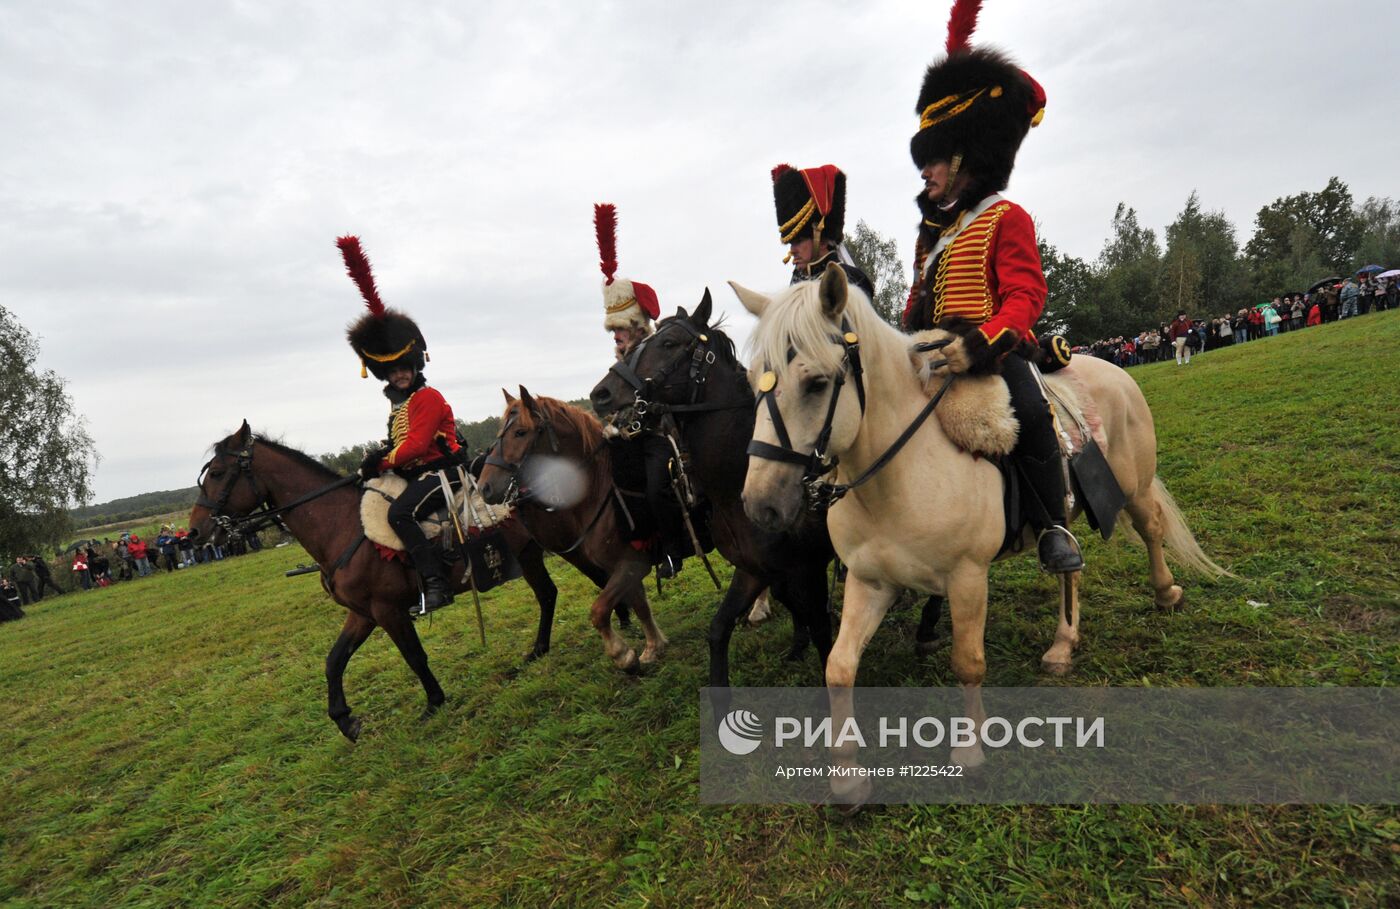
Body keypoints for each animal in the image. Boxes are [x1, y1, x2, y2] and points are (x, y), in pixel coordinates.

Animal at [189, 422, 560, 739]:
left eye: (218, 473)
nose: (195, 532)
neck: (343, 525)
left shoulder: (388, 611)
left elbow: (414, 655)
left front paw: (434, 702)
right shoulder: (363, 613)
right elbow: (334, 661)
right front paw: (345, 720)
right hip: (529, 554)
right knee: (547, 594)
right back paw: (538, 650)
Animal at [476, 386, 666, 669]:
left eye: (520, 432)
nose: (485, 487)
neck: (602, 488)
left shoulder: (632, 562)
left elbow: (600, 609)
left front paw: (623, 653)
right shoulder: (622, 564)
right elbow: (639, 604)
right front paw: (653, 647)